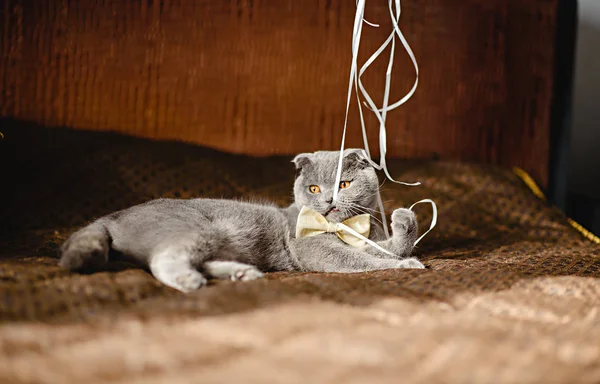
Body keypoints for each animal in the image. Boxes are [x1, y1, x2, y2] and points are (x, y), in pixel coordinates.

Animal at [58, 149, 424, 292]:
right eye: (314, 188)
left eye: (344, 184)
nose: (328, 201)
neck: (345, 227)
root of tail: (113, 215)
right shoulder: (311, 248)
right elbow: (360, 259)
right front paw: (405, 265)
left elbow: (379, 247)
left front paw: (403, 223)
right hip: (197, 227)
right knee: (162, 259)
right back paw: (192, 281)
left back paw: (241, 273)